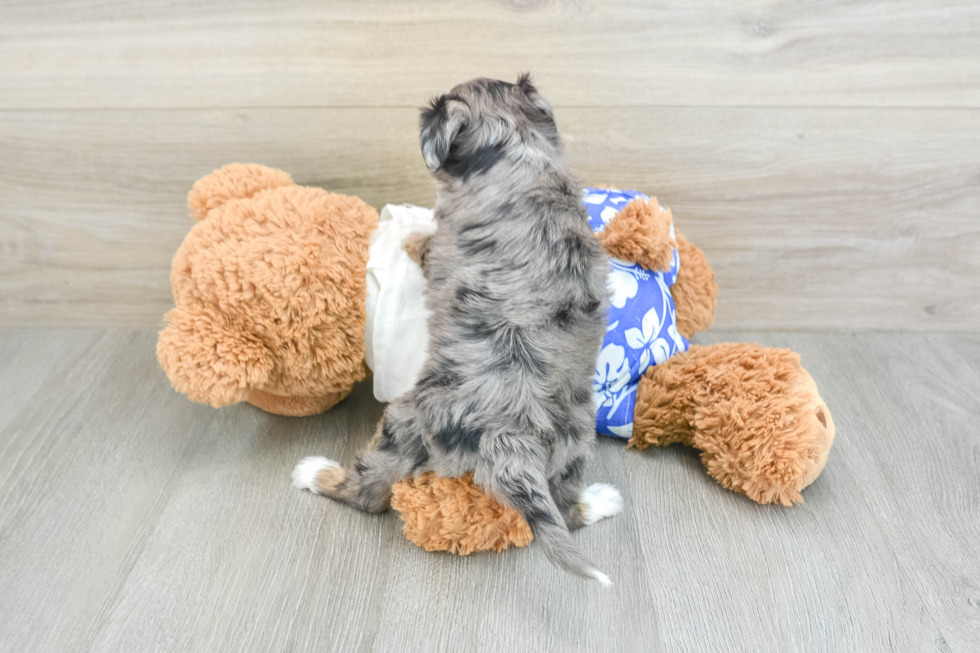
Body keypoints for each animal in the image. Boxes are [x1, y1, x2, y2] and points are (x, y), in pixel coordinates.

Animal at [290, 76, 624, 584]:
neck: (519, 144)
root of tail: (511, 435)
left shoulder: (442, 242)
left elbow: (424, 242)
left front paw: (408, 234)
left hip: (402, 422)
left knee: (369, 492)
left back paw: (316, 473)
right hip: (575, 440)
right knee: (565, 511)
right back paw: (600, 500)